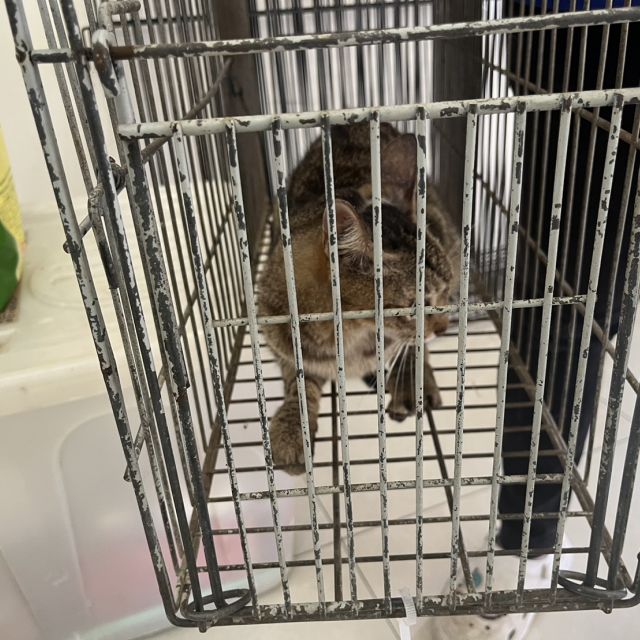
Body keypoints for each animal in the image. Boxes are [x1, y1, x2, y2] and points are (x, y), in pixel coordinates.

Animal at [258, 122, 459, 473]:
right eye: (412, 306)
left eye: (445, 292)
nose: (444, 327)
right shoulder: (278, 336)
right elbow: (297, 380)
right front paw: (293, 426)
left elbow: (411, 347)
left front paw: (411, 373)